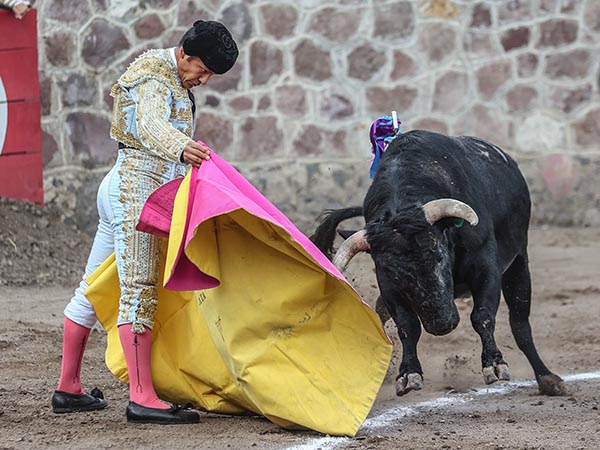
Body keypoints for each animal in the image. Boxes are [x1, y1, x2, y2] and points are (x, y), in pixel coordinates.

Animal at [312, 128, 568, 396]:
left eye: (439, 255)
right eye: (394, 273)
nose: (442, 324)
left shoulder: (486, 267)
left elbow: (483, 315)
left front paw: (494, 364)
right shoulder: (387, 284)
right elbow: (407, 325)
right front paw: (408, 374)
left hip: (519, 261)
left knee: (520, 324)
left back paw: (548, 379)